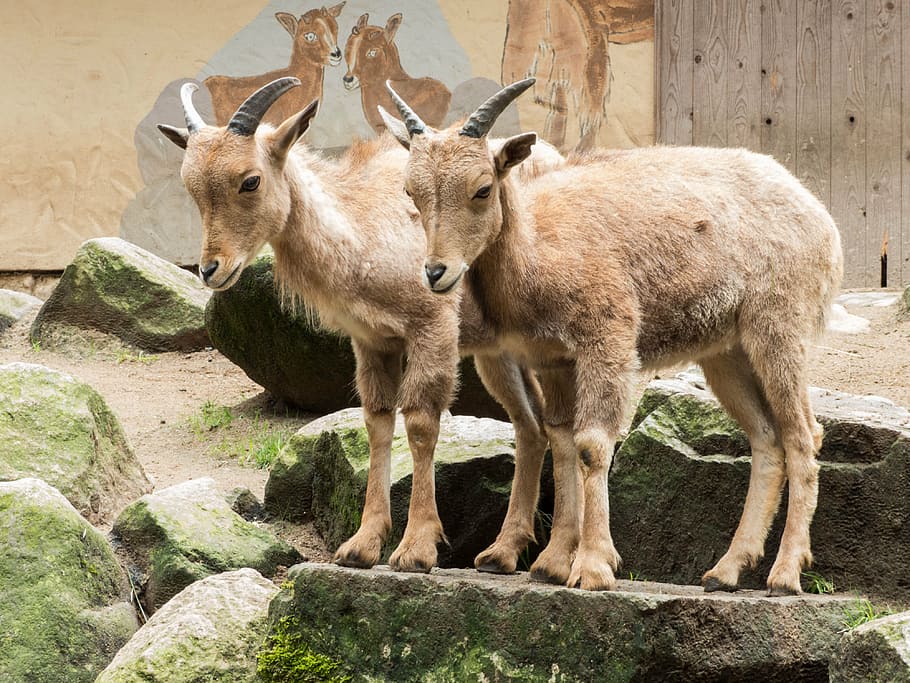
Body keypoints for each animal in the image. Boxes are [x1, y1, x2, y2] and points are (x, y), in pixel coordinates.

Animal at [157, 77, 565, 576]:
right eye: (190, 186)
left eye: (250, 180)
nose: (211, 269)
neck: (362, 236)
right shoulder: (373, 342)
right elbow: (376, 421)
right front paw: (362, 545)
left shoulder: (433, 328)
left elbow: (421, 423)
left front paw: (416, 548)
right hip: (497, 352)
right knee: (532, 424)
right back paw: (502, 553)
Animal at [382, 80, 844, 594]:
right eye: (411, 191)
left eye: (482, 188)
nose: (436, 272)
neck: (539, 252)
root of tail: (822, 220)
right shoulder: (554, 360)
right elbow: (562, 439)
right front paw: (552, 563)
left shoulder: (608, 338)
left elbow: (593, 443)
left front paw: (593, 567)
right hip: (728, 353)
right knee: (766, 440)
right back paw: (725, 570)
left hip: (779, 329)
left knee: (803, 435)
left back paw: (785, 574)